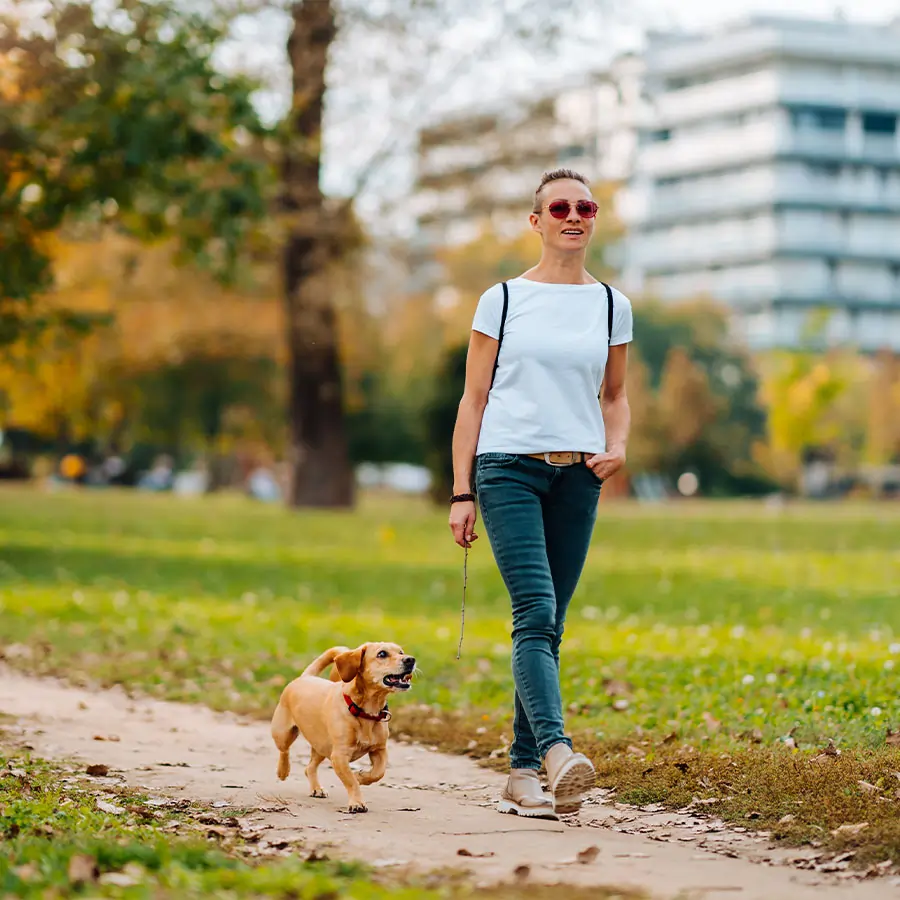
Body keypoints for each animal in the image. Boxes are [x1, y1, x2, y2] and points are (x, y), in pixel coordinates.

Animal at [270, 640, 414, 816]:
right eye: (382, 654)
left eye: (401, 652)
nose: (410, 660)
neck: (366, 711)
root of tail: (305, 677)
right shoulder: (339, 756)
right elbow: (351, 782)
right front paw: (357, 802)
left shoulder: (379, 750)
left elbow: (378, 773)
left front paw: (361, 776)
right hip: (284, 734)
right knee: (284, 751)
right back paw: (283, 771)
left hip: (322, 746)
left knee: (309, 767)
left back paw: (316, 788)